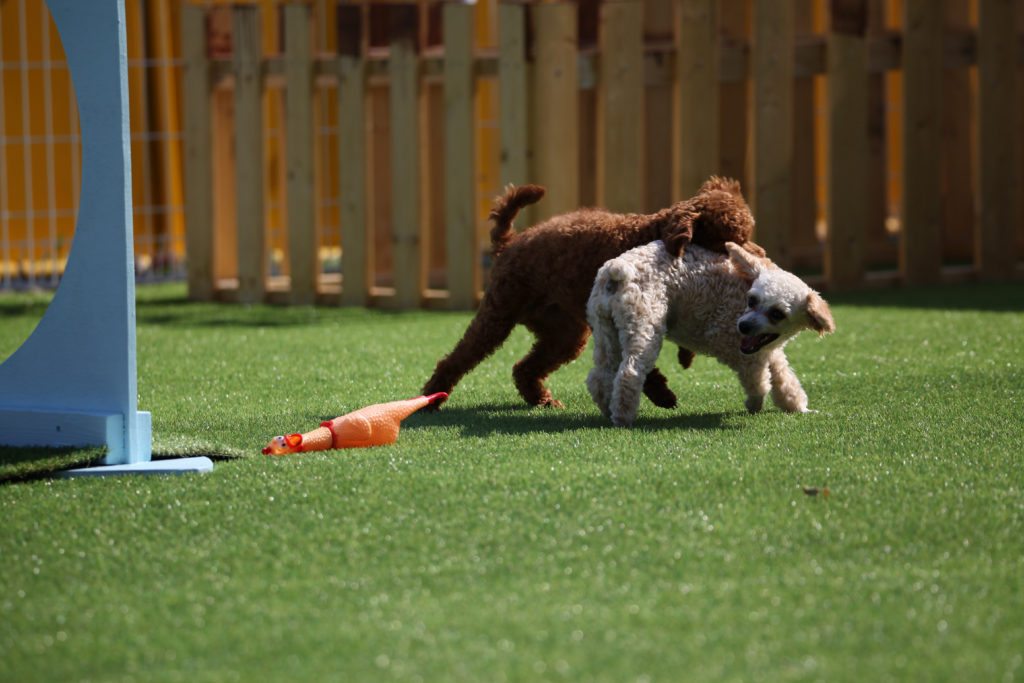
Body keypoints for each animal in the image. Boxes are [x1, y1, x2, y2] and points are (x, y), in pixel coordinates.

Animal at [419, 178, 765, 411]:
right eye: (733, 239)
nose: (761, 256)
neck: (650, 233)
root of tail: (509, 243)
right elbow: (640, 360)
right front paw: (662, 393)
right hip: (499, 312)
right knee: (457, 358)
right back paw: (431, 398)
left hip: (565, 332)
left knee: (524, 368)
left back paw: (540, 400)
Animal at [589, 241, 835, 428]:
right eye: (752, 300)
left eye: (777, 313)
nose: (743, 326)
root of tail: (616, 269)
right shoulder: (728, 341)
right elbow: (758, 378)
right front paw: (755, 403)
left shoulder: (764, 348)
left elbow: (783, 376)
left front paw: (796, 406)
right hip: (644, 328)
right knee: (629, 373)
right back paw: (623, 418)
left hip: (605, 329)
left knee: (600, 375)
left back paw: (607, 409)